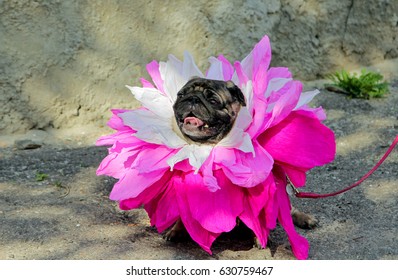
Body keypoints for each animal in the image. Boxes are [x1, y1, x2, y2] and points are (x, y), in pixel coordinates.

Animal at [166, 76, 318, 245]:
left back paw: (305, 218)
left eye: (213, 100)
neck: (210, 146)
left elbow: (258, 215)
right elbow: (183, 215)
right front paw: (177, 230)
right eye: (181, 95)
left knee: (289, 209)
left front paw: (260, 236)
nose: (192, 98)